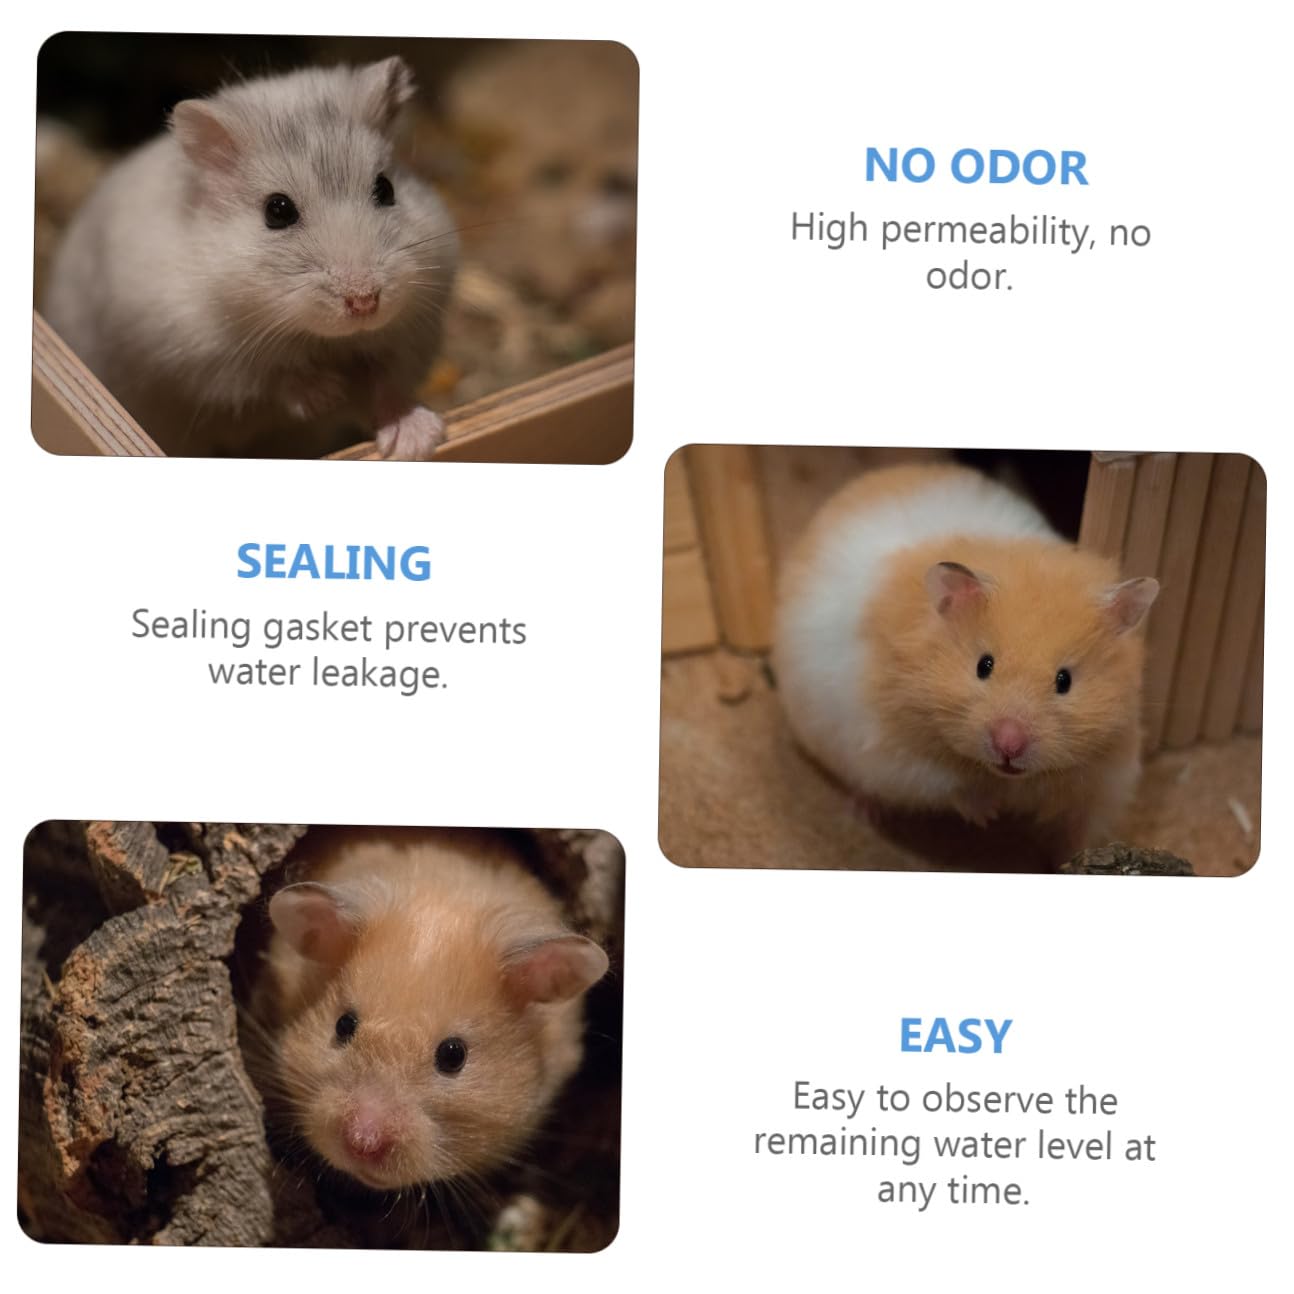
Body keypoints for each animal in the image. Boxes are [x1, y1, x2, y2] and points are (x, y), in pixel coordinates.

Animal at [42, 58, 458, 460]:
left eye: (385, 189)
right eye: (277, 211)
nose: (364, 302)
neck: (322, 339)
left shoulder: (409, 334)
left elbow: (386, 384)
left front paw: (415, 442)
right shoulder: (204, 358)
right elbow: (272, 377)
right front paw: (326, 393)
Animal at [774, 462, 1160, 863]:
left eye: (1064, 681)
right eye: (983, 666)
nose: (1009, 745)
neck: (1007, 777)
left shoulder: (1106, 777)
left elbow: (1079, 828)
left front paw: (1073, 857)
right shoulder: (895, 756)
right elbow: (948, 786)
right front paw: (989, 815)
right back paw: (865, 812)